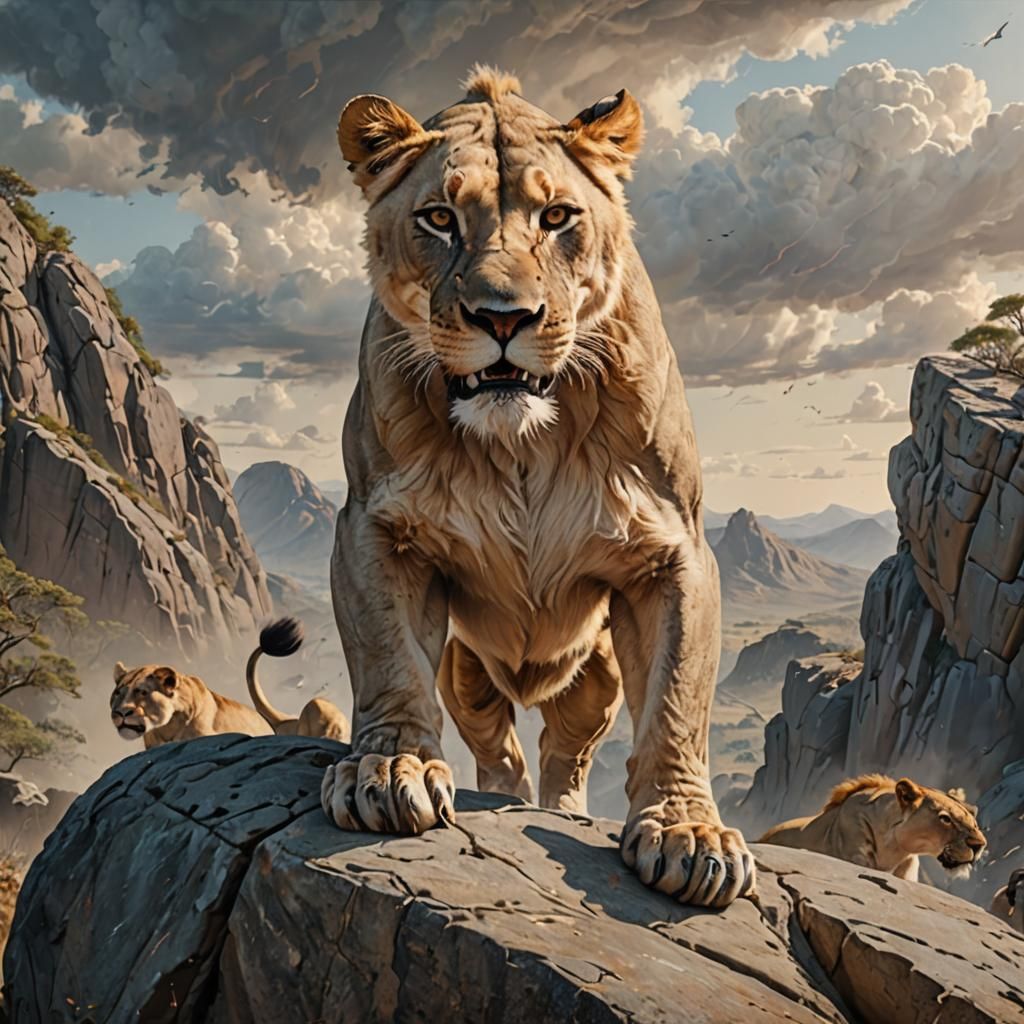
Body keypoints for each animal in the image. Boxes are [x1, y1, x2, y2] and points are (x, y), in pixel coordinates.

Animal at [317, 65, 753, 909]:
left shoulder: (675, 550)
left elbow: (678, 697)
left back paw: (565, 807)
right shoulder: (374, 530)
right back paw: (500, 791)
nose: (503, 317)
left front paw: (688, 830)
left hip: (597, 674)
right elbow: (387, 656)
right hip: (467, 671)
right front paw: (389, 767)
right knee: (501, 751)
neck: (523, 441)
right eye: (439, 218)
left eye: (557, 217)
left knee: (567, 751)